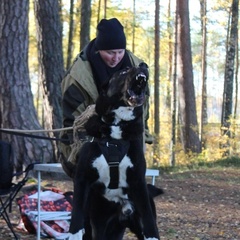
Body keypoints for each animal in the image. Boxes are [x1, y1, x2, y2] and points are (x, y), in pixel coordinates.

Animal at [67, 62, 162, 239]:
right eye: (124, 71)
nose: (143, 65)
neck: (117, 125)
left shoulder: (138, 182)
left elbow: (149, 221)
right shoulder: (82, 179)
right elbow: (76, 215)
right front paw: (74, 233)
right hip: (100, 223)